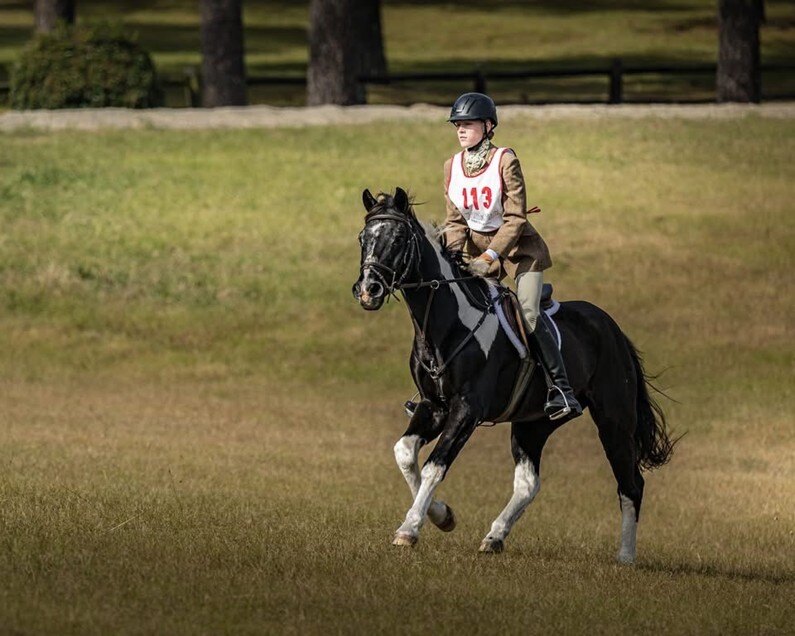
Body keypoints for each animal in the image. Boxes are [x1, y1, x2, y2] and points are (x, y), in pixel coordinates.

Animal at [352, 187, 675, 563]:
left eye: (399, 239)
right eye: (363, 238)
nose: (368, 290)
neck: (445, 325)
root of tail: (614, 330)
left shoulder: (467, 410)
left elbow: (435, 465)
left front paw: (410, 528)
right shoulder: (433, 407)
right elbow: (404, 452)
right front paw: (442, 515)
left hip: (614, 420)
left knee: (631, 484)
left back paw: (624, 556)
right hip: (533, 423)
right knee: (528, 482)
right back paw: (494, 536)